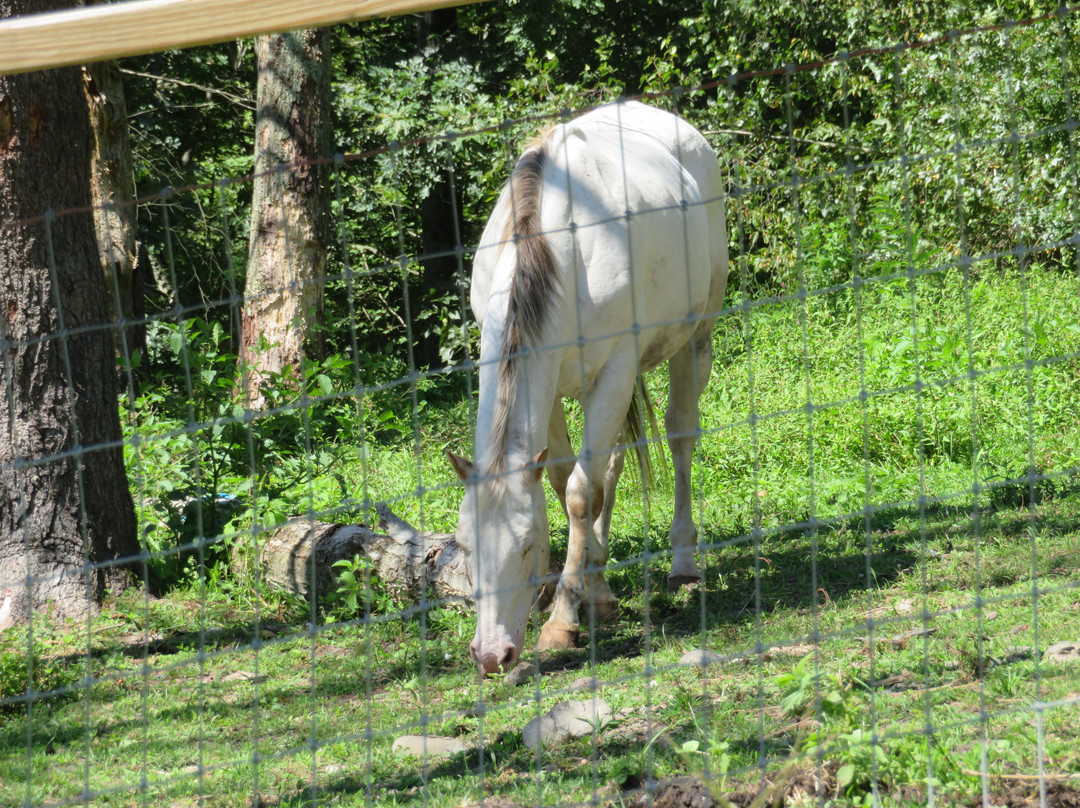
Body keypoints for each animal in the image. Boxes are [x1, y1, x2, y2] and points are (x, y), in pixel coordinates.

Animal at [447, 99, 725, 674]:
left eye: (527, 545)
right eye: (464, 547)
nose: (492, 654)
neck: (556, 251)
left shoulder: (615, 369)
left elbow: (578, 495)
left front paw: (562, 620)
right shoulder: (550, 384)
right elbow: (562, 482)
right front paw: (590, 590)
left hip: (694, 339)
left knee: (679, 438)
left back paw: (683, 564)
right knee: (611, 466)